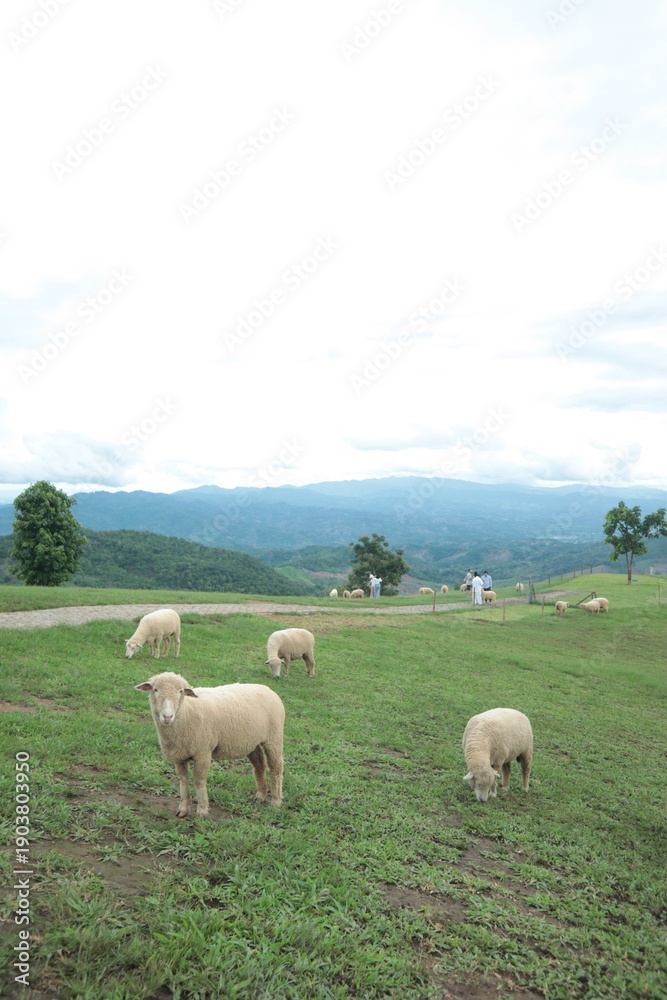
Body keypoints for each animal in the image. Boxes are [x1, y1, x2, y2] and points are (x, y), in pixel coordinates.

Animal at [135, 671, 284, 817]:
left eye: (181, 691)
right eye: (155, 689)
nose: (167, 717)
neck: (186, 712)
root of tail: (267, 688)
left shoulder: (203, 752)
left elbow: (199, 780)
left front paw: (202, 810)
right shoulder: (179, 756)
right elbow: (183, 780)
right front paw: (183, 809)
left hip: (274, 737)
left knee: (276, 767)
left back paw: (276, 801)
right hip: (252, 742)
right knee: (259, 765)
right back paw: (261, 795)